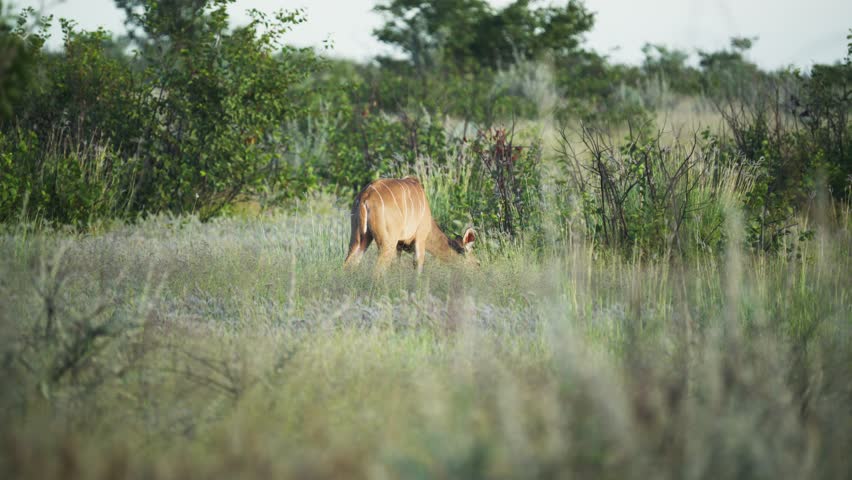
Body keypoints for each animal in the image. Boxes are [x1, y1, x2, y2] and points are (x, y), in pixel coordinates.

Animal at [343, 176, 477, 274]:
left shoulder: (399, 245)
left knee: (349, 263)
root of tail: (365, 196)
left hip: (359, 238)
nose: (478, 274)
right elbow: (418, 266)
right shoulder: (420, 238)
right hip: (387, 243)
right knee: (377, 271)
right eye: (478, 263)